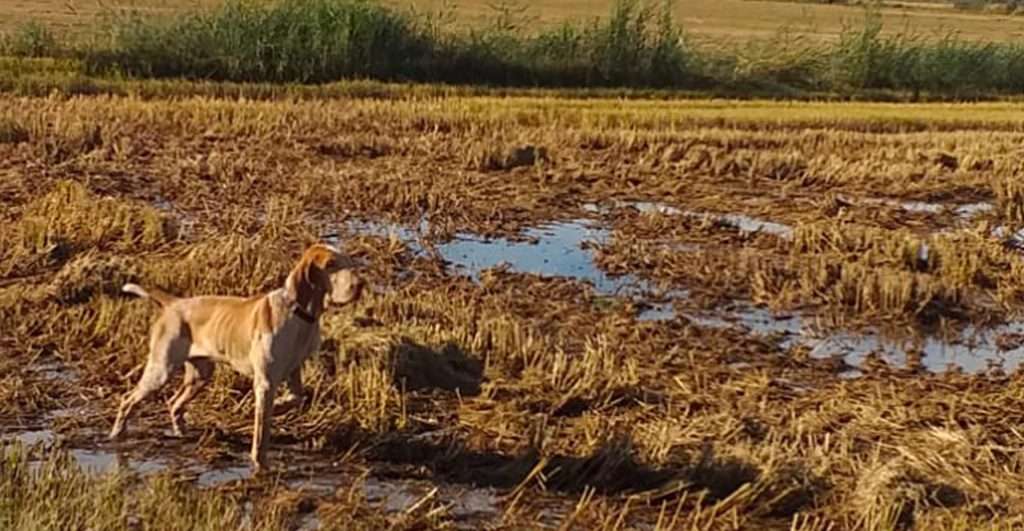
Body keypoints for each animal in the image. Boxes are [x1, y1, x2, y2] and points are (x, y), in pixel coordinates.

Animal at [107, 243, 364, 472]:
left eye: (350, 261)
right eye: (330, 264)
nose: (360, 284)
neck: (299, 315)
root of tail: (175, 303)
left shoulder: (292, 373)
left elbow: (296, 397)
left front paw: (280, 405)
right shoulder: (265, 383)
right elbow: (261, 434)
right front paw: (259, 464)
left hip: (200, 376)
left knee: (174, 402)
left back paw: (179, 431)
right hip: (161, 370)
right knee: (128, 399)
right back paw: (117, 433)